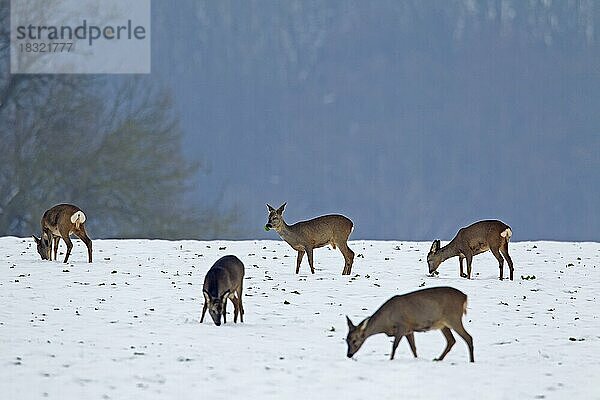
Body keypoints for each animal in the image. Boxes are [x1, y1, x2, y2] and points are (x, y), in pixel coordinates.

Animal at [346, 284, 474, 362]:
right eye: (346, 339)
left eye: (354, 340)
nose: (349, 355)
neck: (386, 322)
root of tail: (465, 297)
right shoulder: (409, 329)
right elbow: (413, 348)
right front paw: (417, 359)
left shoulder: (402, 325)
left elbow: (394, 346)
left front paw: (391, 360)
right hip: (443, 324)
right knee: (451, 340)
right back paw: (438, 359)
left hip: (453, 317)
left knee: (468, 337)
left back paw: (471, 360)